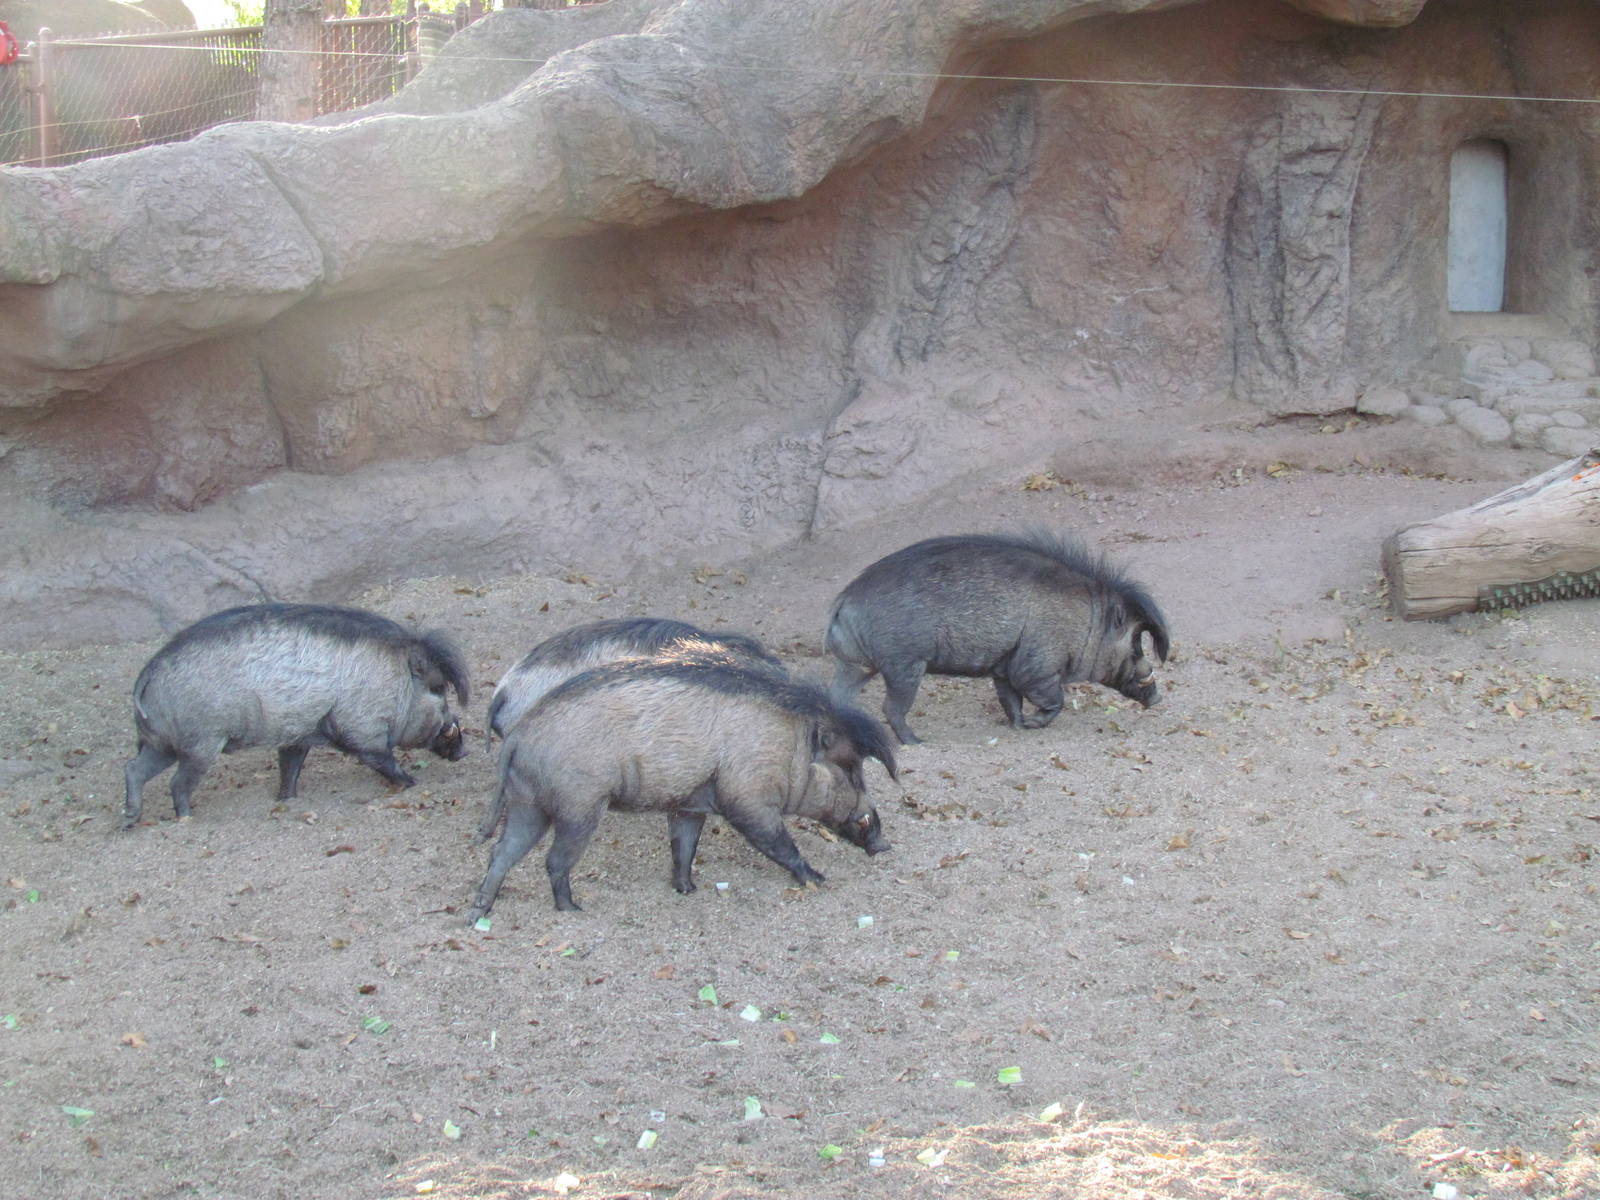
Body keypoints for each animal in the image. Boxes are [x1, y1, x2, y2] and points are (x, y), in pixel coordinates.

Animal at [123, 603, 470, 828]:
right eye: (438, 689)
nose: (463, 751)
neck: (398, 680)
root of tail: (146, 675)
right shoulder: (362, 729)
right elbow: (381, 760)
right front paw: (412, 782)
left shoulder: (298, 736)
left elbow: (289, 768)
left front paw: (286, 800)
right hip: (202, 744)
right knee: (177, 783)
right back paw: (186, 818)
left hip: (162, 743)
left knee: (134, 769)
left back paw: (130, 821)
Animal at [467, 658, 896, 917]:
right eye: (851, 769)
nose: (884, 844)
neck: (790, 747)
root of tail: (518, 736)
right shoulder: (747, 799)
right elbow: (779, 843)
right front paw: (818, 879)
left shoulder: (690, 804)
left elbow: (683, 847)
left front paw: (688, 890)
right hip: (579, 807)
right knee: (554, 860)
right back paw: (572, 910)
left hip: (528, 803)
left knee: (501, 852)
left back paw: (479, 912)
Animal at [825, 530, 1169, 744]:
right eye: (1135, 645)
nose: (1157, 698)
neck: (1090, 622)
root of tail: (843, 601)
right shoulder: (1036, 668)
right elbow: (1053, 700)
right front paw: (1031, 725)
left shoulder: (1004, 669)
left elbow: (1009, 701)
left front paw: (1017, 726)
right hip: (904, 665)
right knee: (891, 709)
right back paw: (916, 742)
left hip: (856, 665)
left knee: (837, 696)